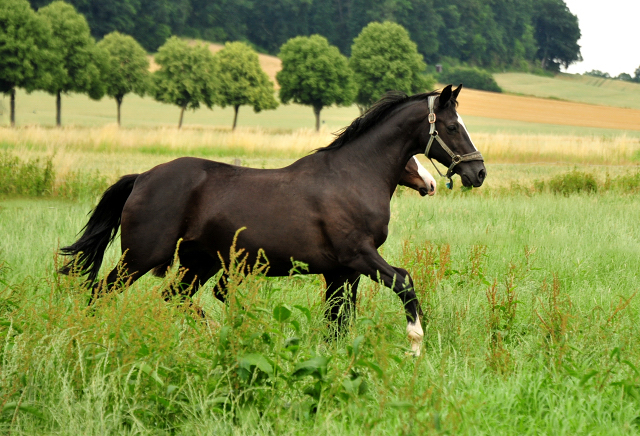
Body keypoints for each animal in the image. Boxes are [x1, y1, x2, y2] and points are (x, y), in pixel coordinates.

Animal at [62, 84, 488, 354]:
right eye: (453, 126)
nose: (478, 172)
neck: (352, 176)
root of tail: (142, 178)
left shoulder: (342, 271)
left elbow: (338, 319)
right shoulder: (359, 256)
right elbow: (403, 281)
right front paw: (416, 341)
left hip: (197, 264)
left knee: (173, 297)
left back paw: (215, 333)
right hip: (140, 257)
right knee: (99, 291)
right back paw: (88, 337)